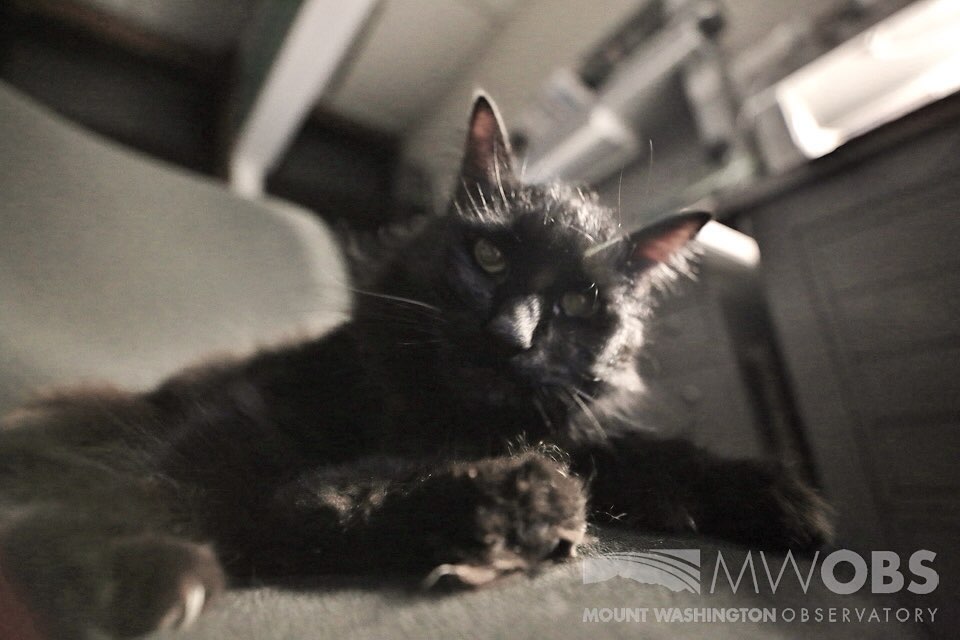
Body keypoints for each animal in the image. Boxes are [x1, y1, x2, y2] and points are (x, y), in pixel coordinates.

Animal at [0, 95, 828, 640]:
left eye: (577, 304)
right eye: (488, 256)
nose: (511, 334)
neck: (443, 418)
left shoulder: (569, 429)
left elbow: (650, 454)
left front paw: (779, 496)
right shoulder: (263, 443)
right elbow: (330, 490)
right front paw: (524, 496)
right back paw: (150, 575)